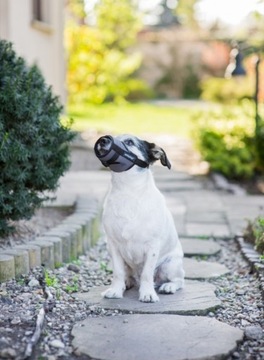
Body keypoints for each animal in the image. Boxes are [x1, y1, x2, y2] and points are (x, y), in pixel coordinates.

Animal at [94, 134, 184, 302]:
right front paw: (115, 290)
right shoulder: (113, 246)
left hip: (170, 265)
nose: (103, 140)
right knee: (128, 276)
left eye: (130, 142)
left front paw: (147, 293)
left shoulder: (152, 247)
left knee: (180, 280)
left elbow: (147, 274)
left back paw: (168, 286)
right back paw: (127, 283)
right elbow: (118, 273)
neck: (127, 193)